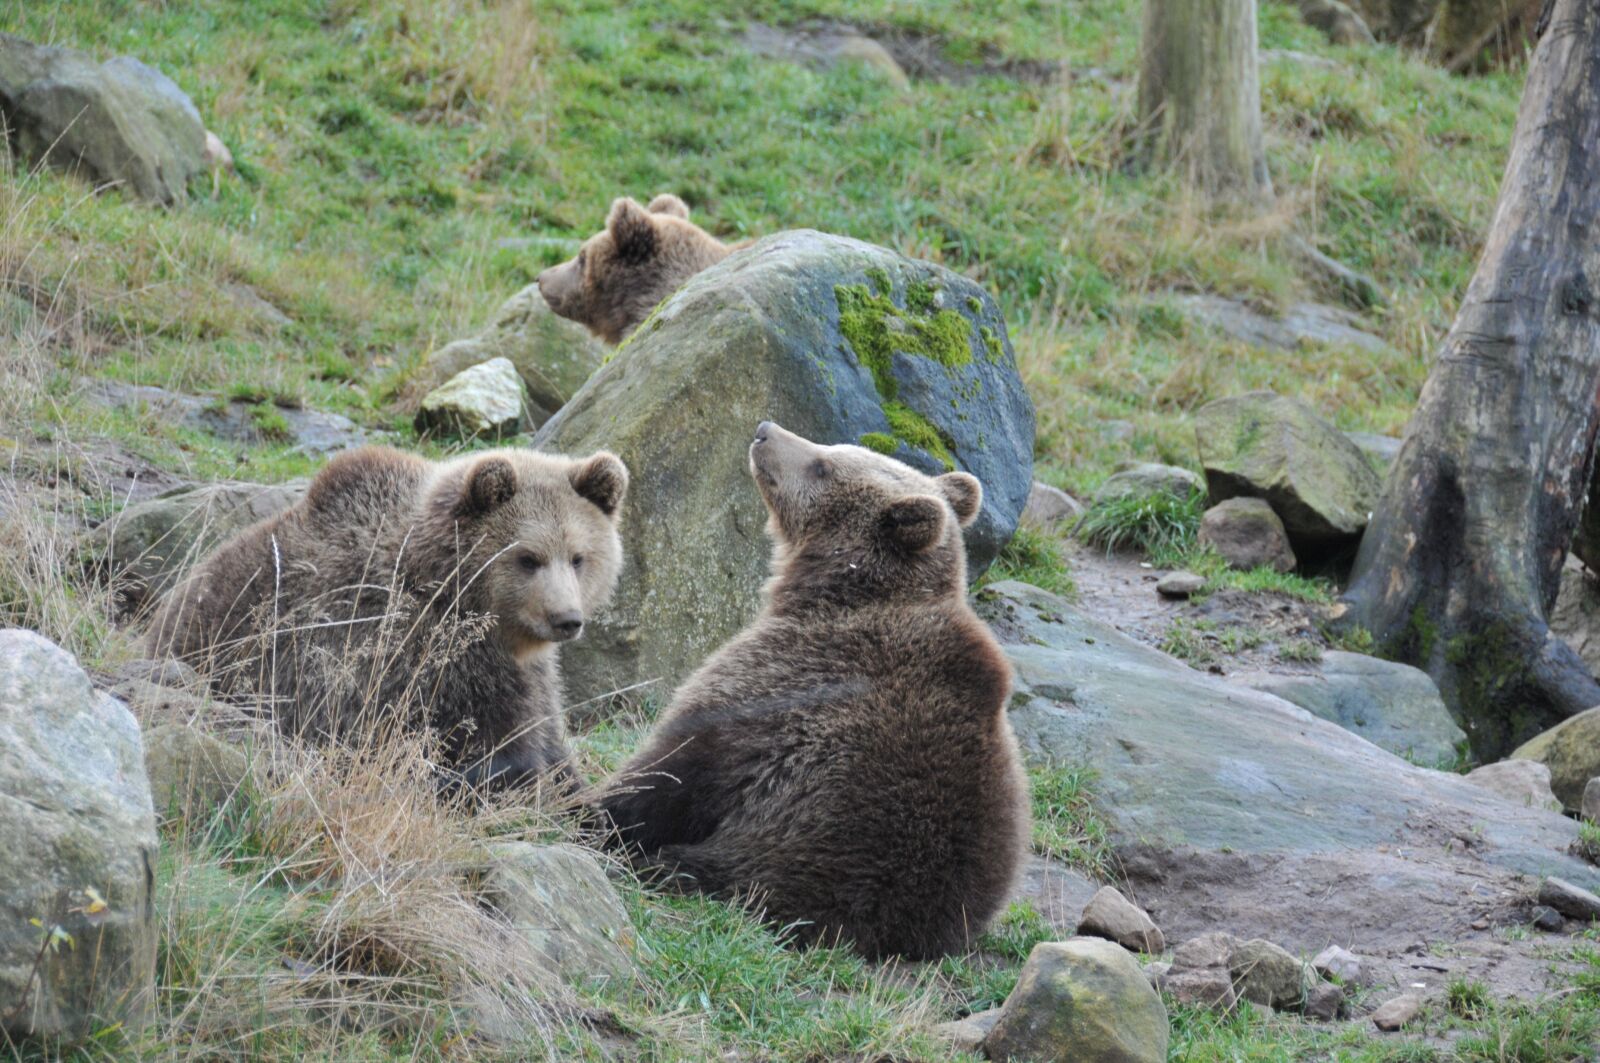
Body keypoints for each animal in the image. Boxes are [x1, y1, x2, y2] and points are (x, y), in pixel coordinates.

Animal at [145, 444, 628, 791]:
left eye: (579, 557)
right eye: (528, 558)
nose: (566, 619)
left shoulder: (531, 674)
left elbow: (549, 741)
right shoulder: (412, 660)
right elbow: (484, 749)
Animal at [592, 421, 1030, 960]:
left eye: (824, 465)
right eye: (840, 446)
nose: (765, 431)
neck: (835, 591)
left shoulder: (779, 683)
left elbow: (672, 766)